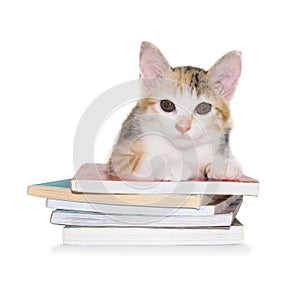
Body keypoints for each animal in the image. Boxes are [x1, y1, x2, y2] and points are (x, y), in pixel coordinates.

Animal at [109, 40, 243, 179]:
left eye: (203, 108)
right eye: (167, 105)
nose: (183, 127)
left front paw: (223, 164)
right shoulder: (119, 155)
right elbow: (141, 160)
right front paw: (173, 165)